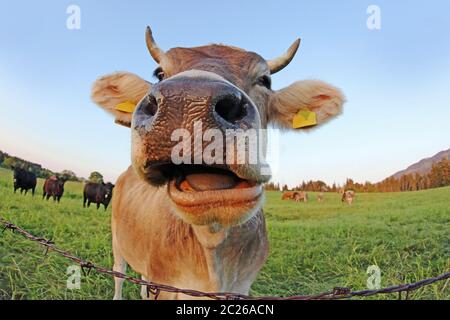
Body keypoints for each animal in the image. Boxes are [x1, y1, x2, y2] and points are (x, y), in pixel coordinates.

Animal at [90, 26, 344, 298]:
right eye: (159, 74)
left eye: (265, 80)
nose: (188, 100)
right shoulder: (165, 283)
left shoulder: (242, 285)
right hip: (117, 240)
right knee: (119, 274)